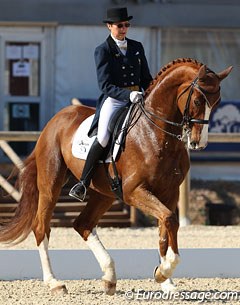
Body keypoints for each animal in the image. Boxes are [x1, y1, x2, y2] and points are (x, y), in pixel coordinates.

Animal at [0, 58, 232, 294]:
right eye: (197, 100)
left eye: (217, 102)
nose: (198, 143)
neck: (156, 134)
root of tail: (56, 119)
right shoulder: (134, 192)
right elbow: (168, 219)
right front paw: (164, 271)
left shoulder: (169, 192)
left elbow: (165, 229)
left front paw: (165, 279)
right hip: (51, 184)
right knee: (41, 227)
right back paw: (54, 282)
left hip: (104, 193)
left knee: (83, 224)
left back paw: (109, 277)